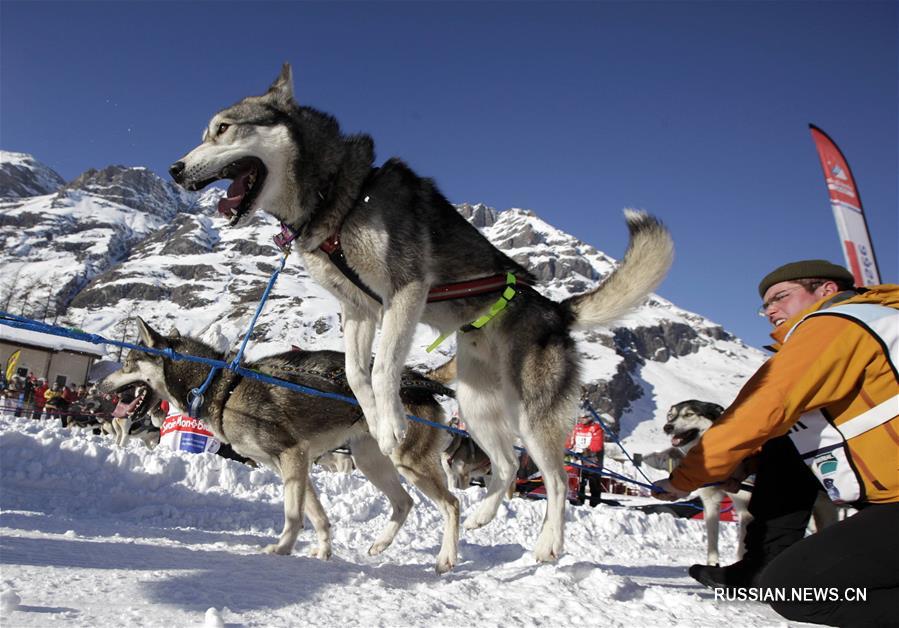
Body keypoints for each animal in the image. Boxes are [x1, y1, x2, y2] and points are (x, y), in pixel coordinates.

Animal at [102, 322, 460, 572]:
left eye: (129, 362)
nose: (101, 385)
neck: (221, 386)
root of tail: (420, 378)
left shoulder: (292, 455)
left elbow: (293, 514)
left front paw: (282, 549)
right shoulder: (291, 465)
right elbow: (316, 515)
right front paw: (323, 552)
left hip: (407, 461)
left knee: (452, 504)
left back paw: (446, 559)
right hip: (371, 461)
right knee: (404, 502)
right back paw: (381, 545)